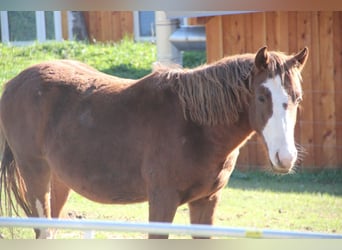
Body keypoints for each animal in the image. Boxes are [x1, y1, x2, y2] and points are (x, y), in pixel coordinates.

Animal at [0, 47, 308, 238]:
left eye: (297, 97)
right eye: (262, 97)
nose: (286, 158)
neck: (195, 125)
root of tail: (13, 83)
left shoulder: (206, 202)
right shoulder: (162, 200)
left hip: (59, 182)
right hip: (36, 176)